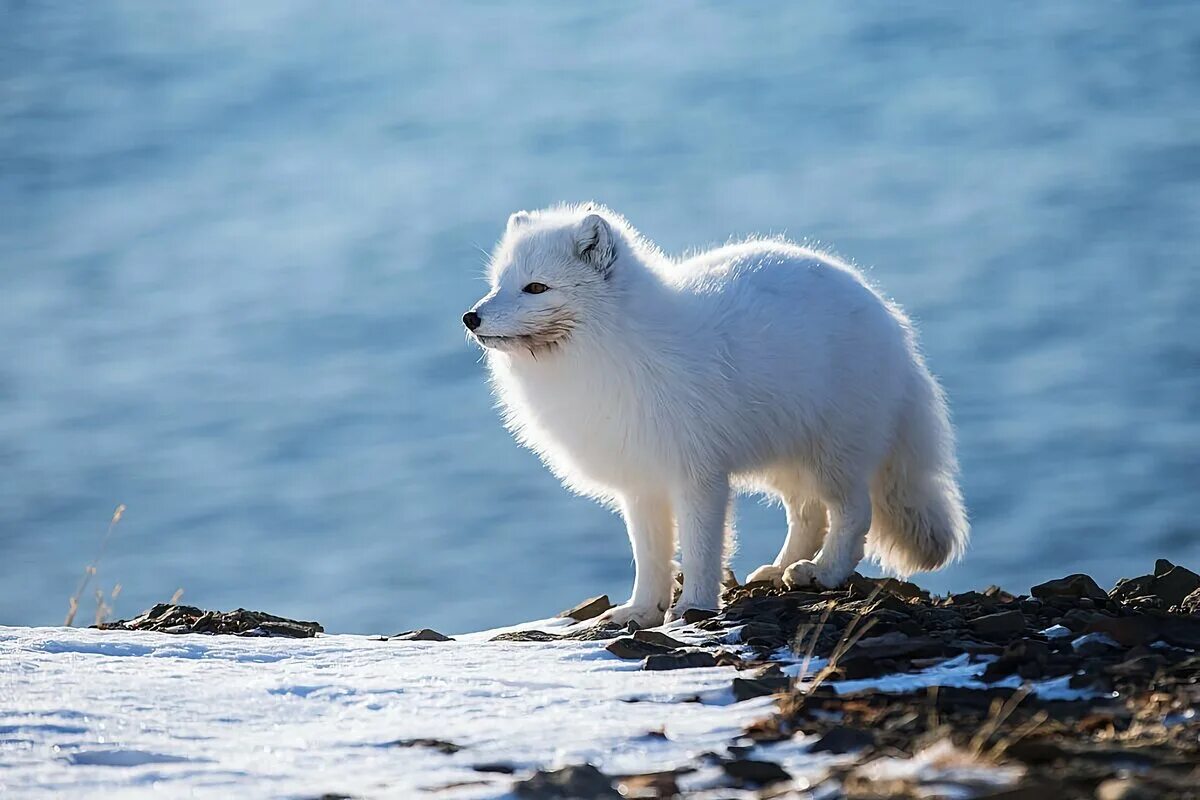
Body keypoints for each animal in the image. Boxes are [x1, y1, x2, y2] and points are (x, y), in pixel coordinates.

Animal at [463, 203, 969, 628]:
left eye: (536, 287)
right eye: (498, 283)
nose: (471, 318)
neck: (615, 350)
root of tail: (892, 321)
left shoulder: (699, 476)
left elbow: (700, 550)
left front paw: (693, 608)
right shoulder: (641, 482)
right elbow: (650, 556)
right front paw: (641, 611)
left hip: (834, 452)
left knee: (852, 513)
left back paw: (821, 573)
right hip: (787, 458)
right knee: (807, 514)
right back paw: (779, 569)